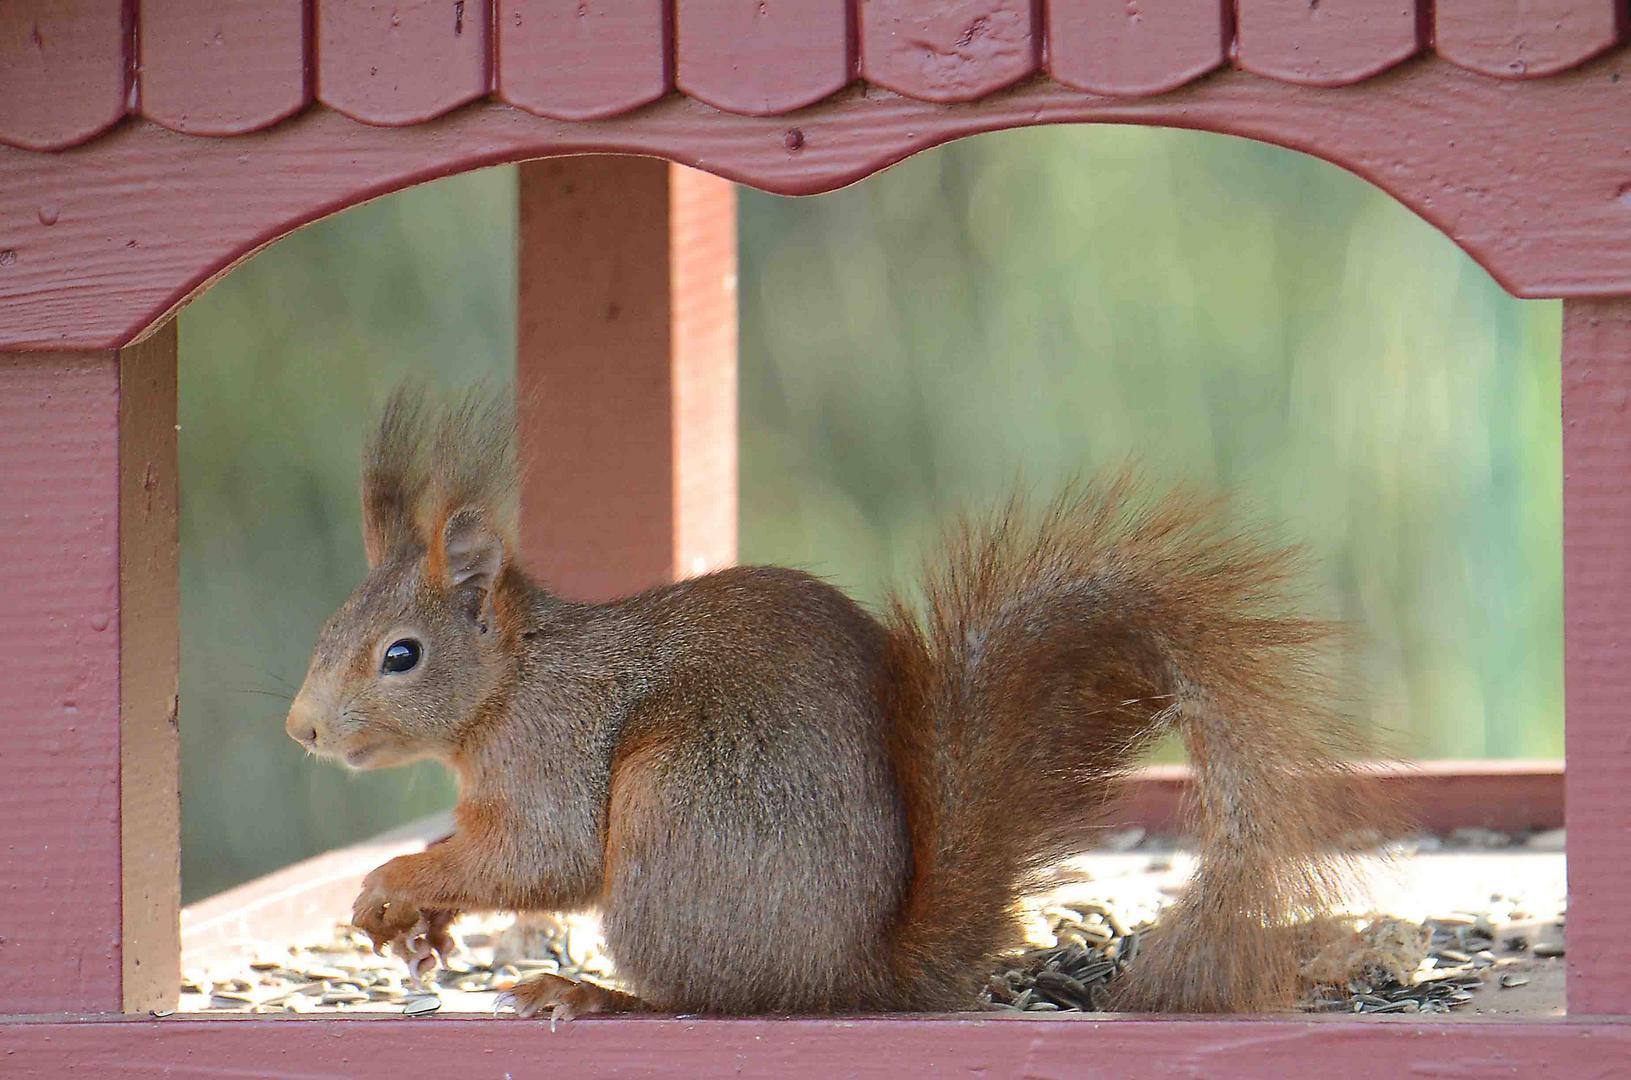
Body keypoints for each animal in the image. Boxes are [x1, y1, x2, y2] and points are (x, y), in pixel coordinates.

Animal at [287, 391, 1383, 1024]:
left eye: (399, 656)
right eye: (331, 625)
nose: (302, 729)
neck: (509, 686)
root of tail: (857, 973)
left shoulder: (551, 755)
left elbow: (541, 857)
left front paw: (392, 882)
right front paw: (414, 928)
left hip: (676, 819)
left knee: (698, 1003)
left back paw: (587, 992)